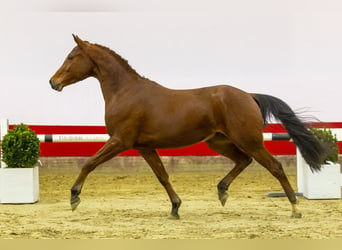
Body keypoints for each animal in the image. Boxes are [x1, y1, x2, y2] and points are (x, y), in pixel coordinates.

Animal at [50, 35, 326, 219]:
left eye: (71, 57)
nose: (53, 82)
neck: (125, 92)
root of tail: (249, 95)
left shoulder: (120, 141)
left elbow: (88, 163)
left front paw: (74, 197)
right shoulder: (144, 147)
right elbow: (162, 176)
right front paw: (175, 207)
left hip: (249, 140)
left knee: (274, 166)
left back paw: (295, 208)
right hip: (219, 141)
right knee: (243, 160)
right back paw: (222, 192)